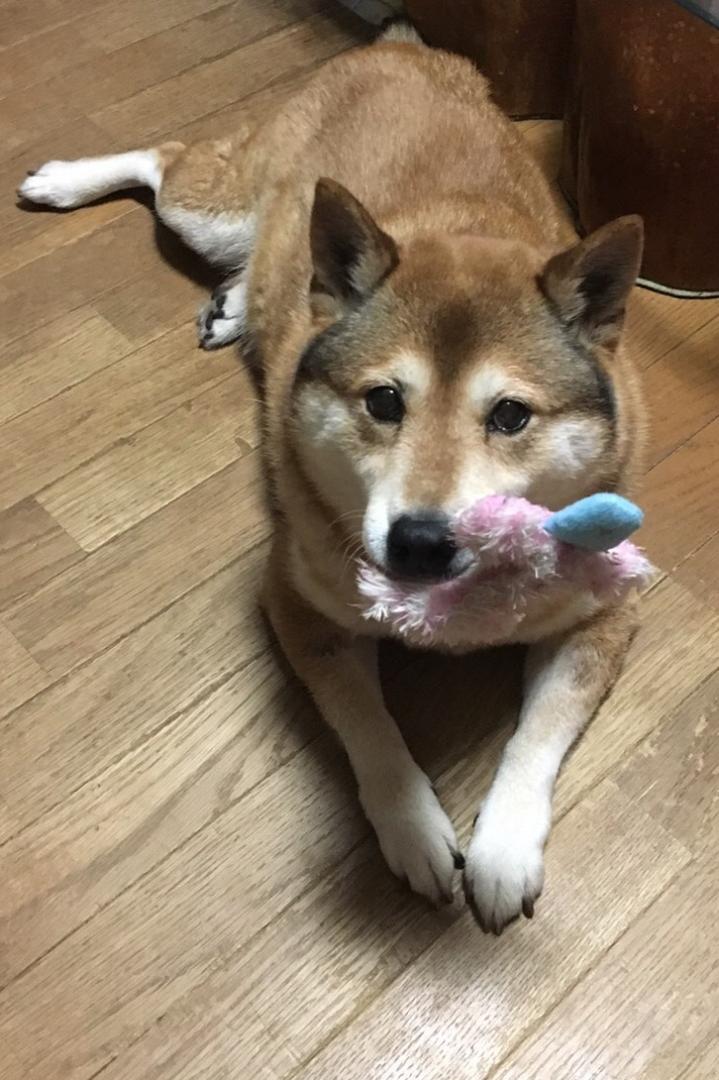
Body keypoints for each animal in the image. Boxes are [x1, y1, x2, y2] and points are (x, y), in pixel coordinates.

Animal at [18, 23, 643, 937]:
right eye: (383, 401)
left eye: (510, 416)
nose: (420, 542)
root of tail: (401, 46)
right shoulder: (299, 604)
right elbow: (369, 727)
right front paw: (414, 829)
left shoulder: (603, 615)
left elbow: (536, 737)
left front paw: (500, 850)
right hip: (210, 209)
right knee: (166, 160)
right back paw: (64, 181)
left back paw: (236, 305)